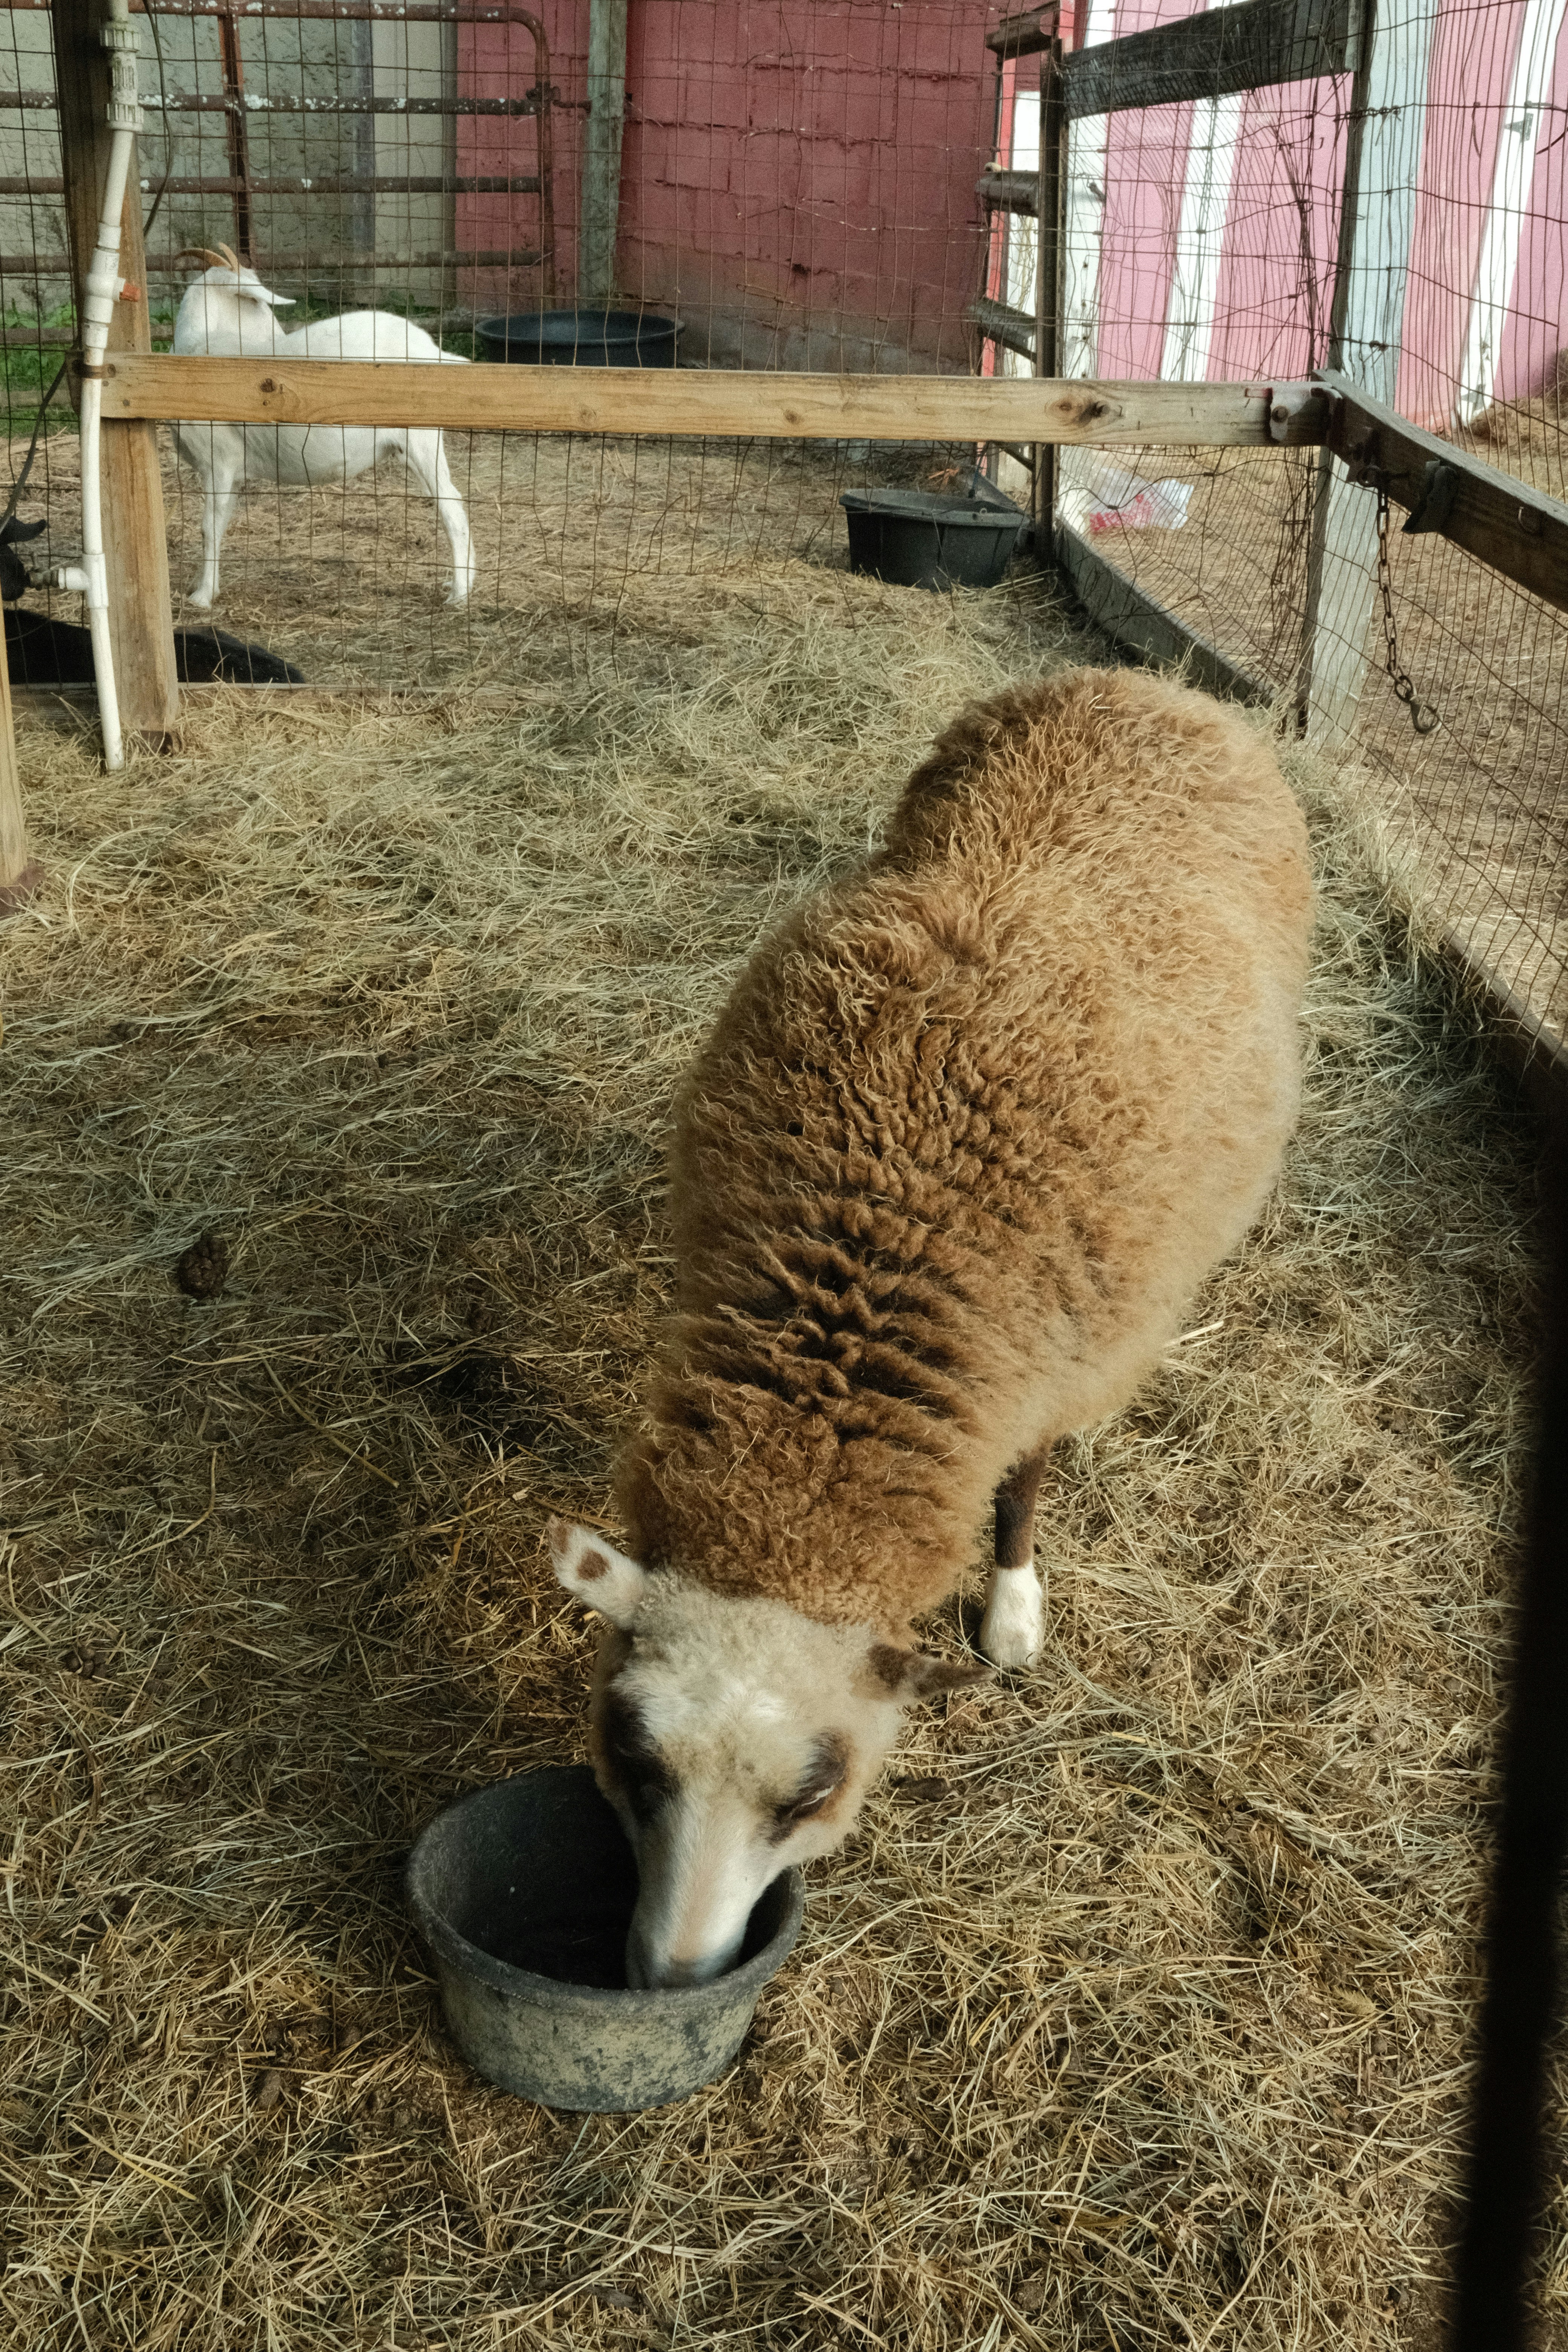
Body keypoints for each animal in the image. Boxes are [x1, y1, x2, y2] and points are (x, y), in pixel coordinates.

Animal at [170, 245, 476, 611]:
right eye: (256, 302)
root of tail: (432, 350)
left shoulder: (217, 460)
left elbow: (208, 528)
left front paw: (202, 597)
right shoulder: (232, 473)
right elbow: (222, 524)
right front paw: (204, 585)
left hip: (421, 439)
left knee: (452, 507)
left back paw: (459, 594)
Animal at [548, 666, 1314, 1991]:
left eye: (813, 1793)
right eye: (632, 1759)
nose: (676, 1975)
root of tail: (1148, 686)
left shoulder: (1059, 1352)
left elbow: (1024, 1486)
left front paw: (1011, 1612)